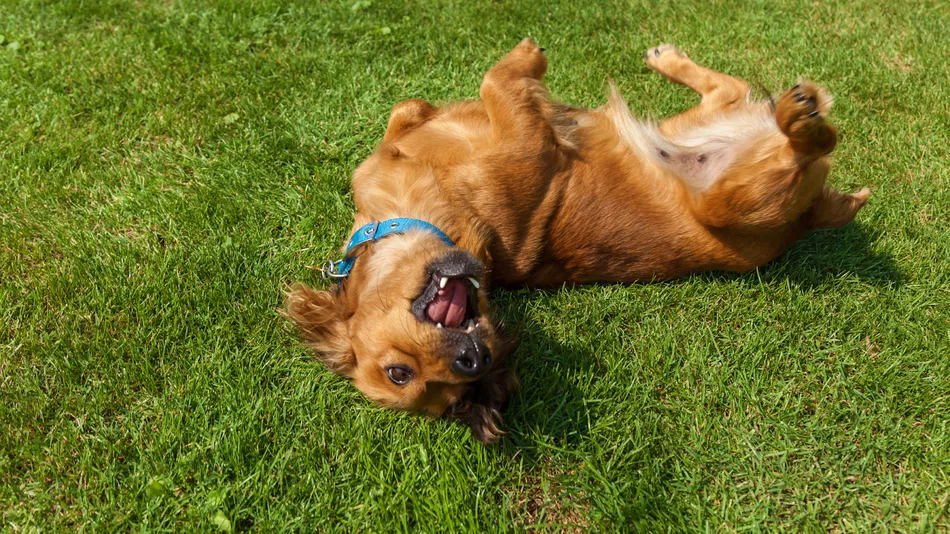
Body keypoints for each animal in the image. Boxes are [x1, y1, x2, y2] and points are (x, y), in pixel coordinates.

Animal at [286, 40, 872, 444]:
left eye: (397, 371)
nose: (474, 361)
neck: (403, 214)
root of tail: (810, 220)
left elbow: (417, 105)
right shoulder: (527, 146)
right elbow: (497, 84)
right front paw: (523, 61)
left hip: (698, 126)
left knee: (731, 90)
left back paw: (678, 64)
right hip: (734, 201)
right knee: (810, 143)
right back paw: (801, 119)